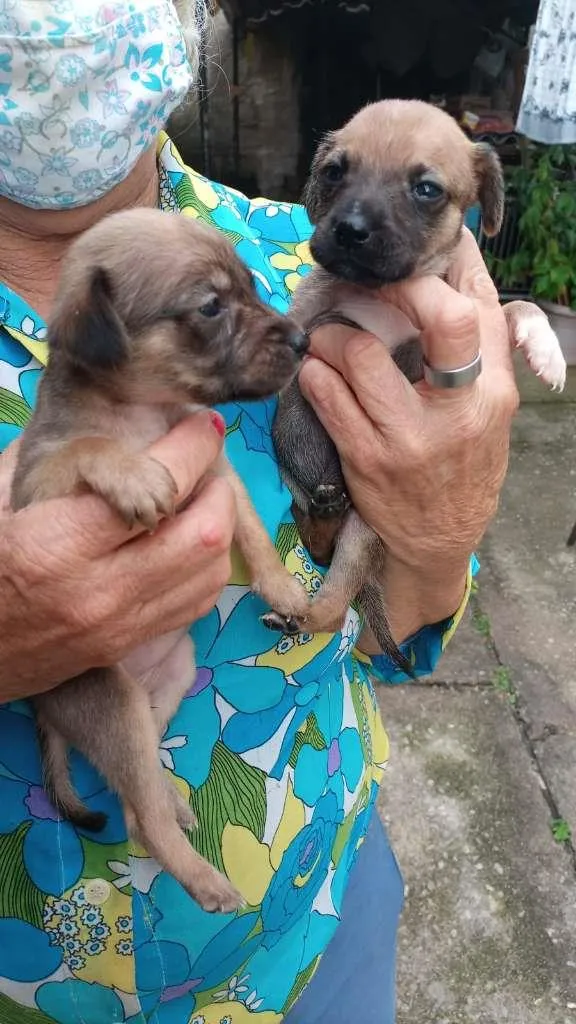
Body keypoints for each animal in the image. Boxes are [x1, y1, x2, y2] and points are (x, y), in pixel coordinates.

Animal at [11, 205, 311, 913]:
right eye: (210, 306)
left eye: (249, 287)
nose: (303, 339)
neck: (144, 415)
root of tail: (45, 707)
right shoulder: (38, 490)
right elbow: (84, 449)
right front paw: (131, 473)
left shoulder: (217, 471)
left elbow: (252, 534)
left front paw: (282, 591)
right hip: (112, 701)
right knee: (140, 817)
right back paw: (203, 880)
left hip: (168, 681)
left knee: (140, 785)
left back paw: (171, 802)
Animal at [264, 99, 565, 659]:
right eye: (334, 172)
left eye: (426, 189)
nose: (349, 230)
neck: (382, 294)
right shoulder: (313, 314)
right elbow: (297, 326)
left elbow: (512, 308)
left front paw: (546, 347)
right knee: (314, 538)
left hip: (363, 536)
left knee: (334, 593)